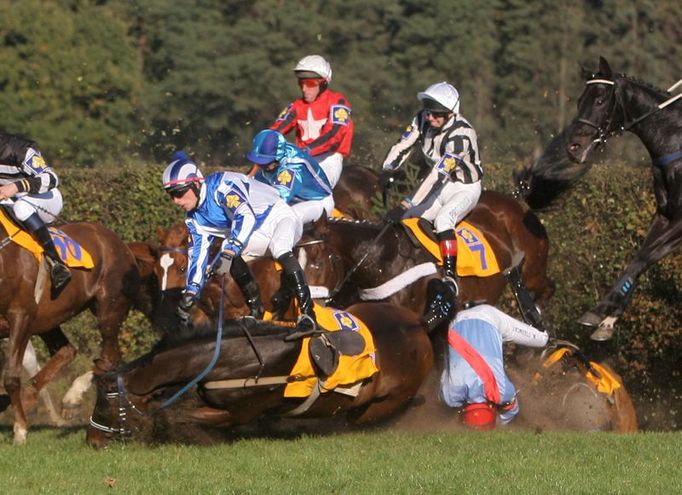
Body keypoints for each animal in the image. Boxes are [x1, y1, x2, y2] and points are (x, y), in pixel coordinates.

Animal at [0, 221, 139, 446]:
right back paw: (28, 397)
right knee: (67, 351)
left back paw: (73, 396)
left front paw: (20, 430)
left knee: (109, 359)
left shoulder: (21, 316)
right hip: (48, 319)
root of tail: (120, 243)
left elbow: (11, 376)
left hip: (108, 309)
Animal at [85, 302, 432, 450]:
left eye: (103, 406)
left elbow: (173, 417)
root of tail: (419, 327)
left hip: (375, 407)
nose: (92, 441)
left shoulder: (239, 411)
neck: (230, 358)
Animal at [516, 55, 680, 340]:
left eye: (601, 100)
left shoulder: (680, 222)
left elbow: (644, 257)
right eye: (580, 100)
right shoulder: (664, 215)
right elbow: (642, 257)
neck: (674, 140)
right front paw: (607, 320)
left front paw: (600, 311)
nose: (574, 147)